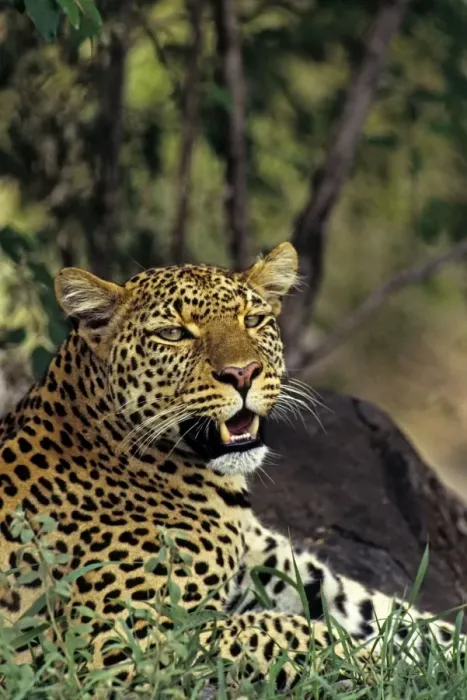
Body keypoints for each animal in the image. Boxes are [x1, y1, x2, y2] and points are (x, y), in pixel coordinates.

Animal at [0, 242, 462, 691]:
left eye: (254, 320)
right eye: (173, 334)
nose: (243, 373)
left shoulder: (277, 569)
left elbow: (398, 618)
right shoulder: (118, 641)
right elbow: (285, 630)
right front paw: (375, 665)